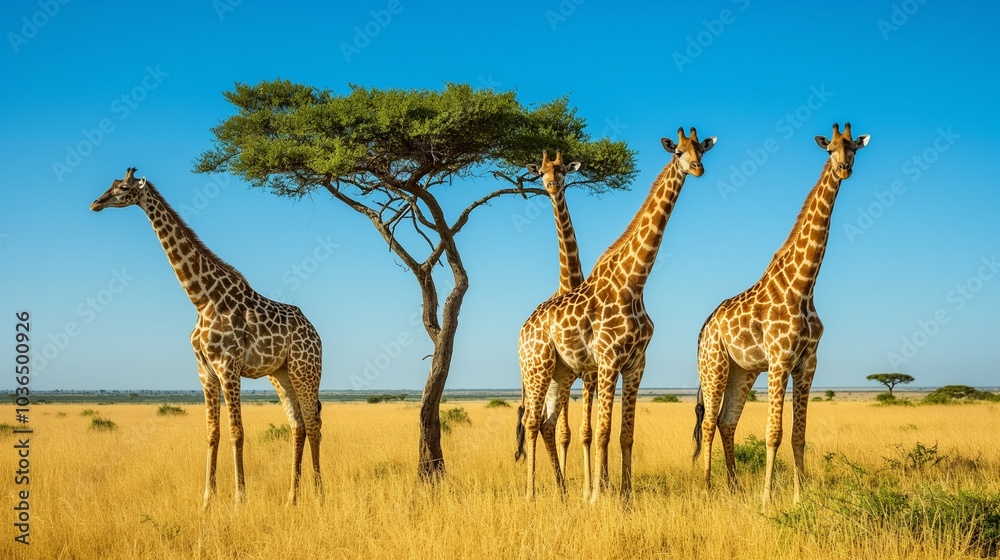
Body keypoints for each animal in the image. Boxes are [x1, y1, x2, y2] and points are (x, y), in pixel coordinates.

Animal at [90, 168, 324, 509]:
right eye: (110, 185)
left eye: (122, 188)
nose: (96, 203)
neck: (202, 299)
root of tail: (315, 333)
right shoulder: (205, 370)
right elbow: (212, 432)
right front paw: (206, 500)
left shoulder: (228, 366)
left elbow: (236, 431)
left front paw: (240, 499)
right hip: (280, 375)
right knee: (298, 426)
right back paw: (291, 498)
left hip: (305, 371)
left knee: (314, 424)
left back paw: (320, 496)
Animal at [517, 127, 716, 502]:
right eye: (678, 152)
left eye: (701, 149)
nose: (697, 168)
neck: (634, 282)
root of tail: (522, 330)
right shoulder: (607, 362)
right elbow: (600, 431)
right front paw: (596, 496)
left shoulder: (635, 363)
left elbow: (626, 433)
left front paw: (625, 495)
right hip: (536, 368)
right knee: (532, 423)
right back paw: (533, 494)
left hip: (560, 373)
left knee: (548, 424)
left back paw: (562, 493)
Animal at [692, 123, 869, 506]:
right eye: (829, 149)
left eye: (854, 148)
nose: (844, 168)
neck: (803, 285)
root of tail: (703, 330)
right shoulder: (779, 360)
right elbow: (773, 432)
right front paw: (767, 498)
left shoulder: (807, 363)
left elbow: (798, 435)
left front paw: (801, 497)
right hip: (714, 366)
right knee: (710, 423)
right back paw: (708, 488)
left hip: (742, 371)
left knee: (727, 422)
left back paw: (734, 486)